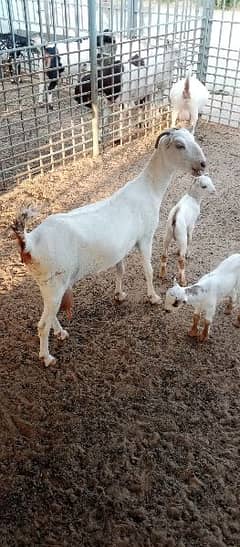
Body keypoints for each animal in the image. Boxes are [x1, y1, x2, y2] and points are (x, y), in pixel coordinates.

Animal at [11, 128, 206, 368]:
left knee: (50, 312)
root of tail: (29, 241)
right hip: (54, 281)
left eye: (193, 138)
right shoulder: (145, 237)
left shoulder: (121, 248)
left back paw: (61, 332)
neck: (149, 189)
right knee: (42, 324)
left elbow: (120, 270)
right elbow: (148, 270)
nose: (203, 164)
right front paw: (153, 297)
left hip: (48, 283)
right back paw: (47, 357)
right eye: (179, 145)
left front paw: (119, 294)